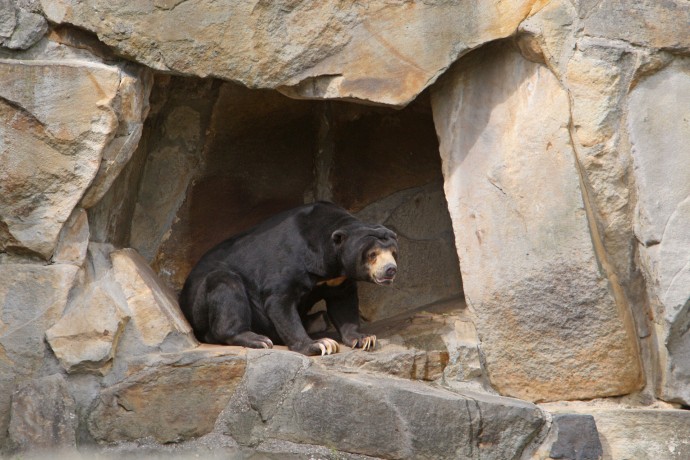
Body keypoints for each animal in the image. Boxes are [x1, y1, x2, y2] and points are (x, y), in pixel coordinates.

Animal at [179, 201, 398, 356]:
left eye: (394, 252)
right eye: (372, 254)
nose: (391, 270)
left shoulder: (338, 279)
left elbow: (343, 302)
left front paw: (364, 338)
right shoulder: (289, 262)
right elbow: (280, 302)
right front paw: (320, 345)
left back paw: (317, 321)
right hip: (202, 301)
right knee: (226, 285)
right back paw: (259, 339)